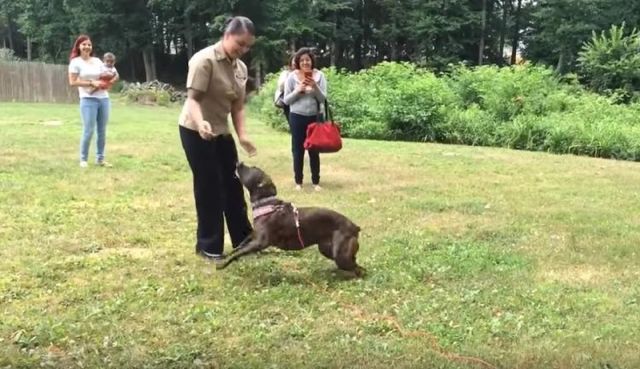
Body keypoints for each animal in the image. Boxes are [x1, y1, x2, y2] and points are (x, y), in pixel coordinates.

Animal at [216, 162, 362, 276]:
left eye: (251, 168)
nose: (238, 162)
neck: (265, 202)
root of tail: (354, 226)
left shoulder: (260, 242)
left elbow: (240, 252)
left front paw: (223, 264)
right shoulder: (254, 235)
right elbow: (240, 246)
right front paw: (227, 255)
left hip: (341, 255)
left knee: (359, 269)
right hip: (326, 249)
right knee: (355, 263)